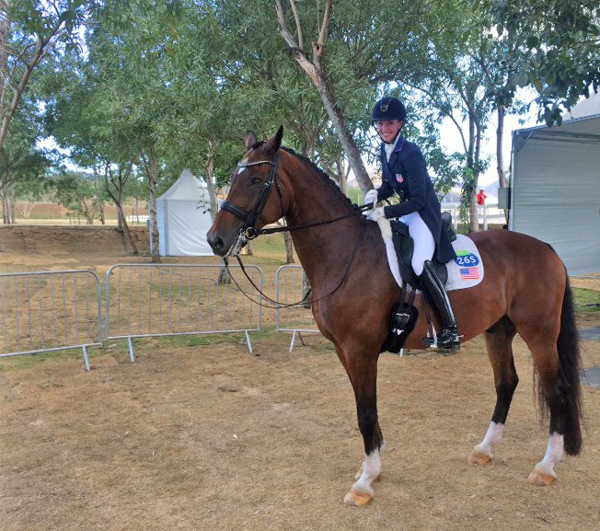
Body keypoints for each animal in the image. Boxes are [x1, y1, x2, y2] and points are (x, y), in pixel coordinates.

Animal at [206, 128, 580, 508]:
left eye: (255, 180)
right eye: (235, 177)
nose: (216, 240)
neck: (346, 252)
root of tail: (546, 248)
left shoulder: (360, 350)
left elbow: (366, 412)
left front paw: (365, 482)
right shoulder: (344, 350)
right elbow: (364, 410)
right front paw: (371, 466)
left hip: (540, 334)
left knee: (557, 389)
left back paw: (546, 466)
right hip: (499, 331)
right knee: (506, 383)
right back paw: (485, 450)